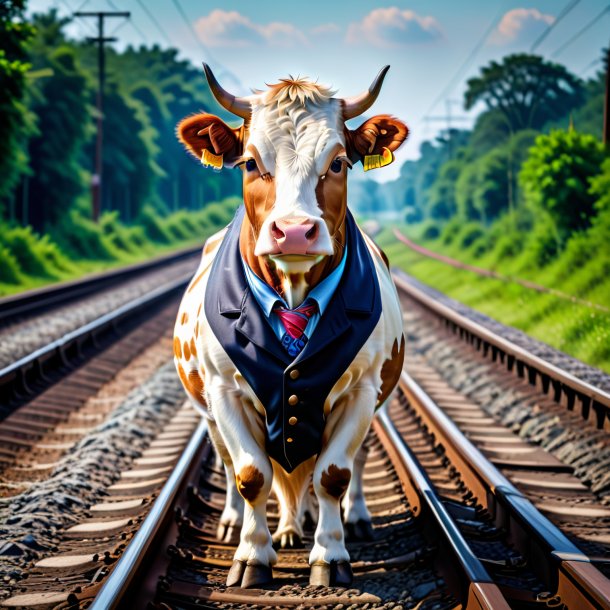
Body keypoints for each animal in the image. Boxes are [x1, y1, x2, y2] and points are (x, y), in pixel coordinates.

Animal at [173, 64, 406, 588]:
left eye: (339, 163)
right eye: (249, 163)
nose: (295, 232)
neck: (295, 292)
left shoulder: (361, 390)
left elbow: (333, 475)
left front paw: (330, 556)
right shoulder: (224, 391)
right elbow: (251, 474)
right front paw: (251, 556)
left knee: (347, 463)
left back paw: (348, 519)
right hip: (208, 410)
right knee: (234, 463)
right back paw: (245, 523)